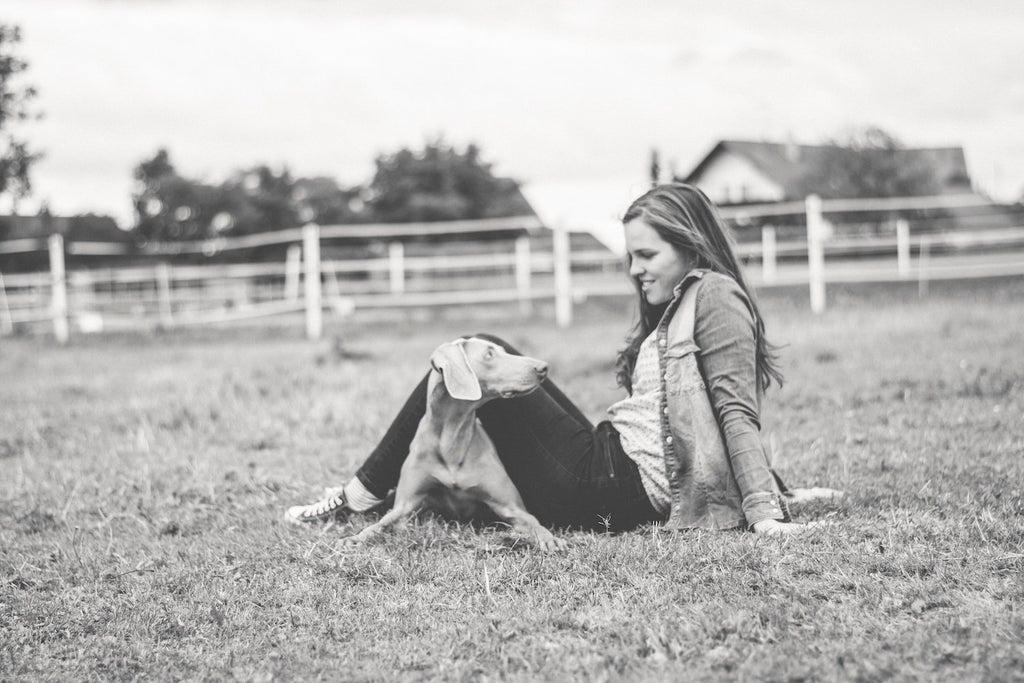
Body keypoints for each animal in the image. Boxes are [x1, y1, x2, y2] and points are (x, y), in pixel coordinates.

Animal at [344, 339, 569, 552]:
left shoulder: (512, 507)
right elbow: (380, 524)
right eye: (489, 354)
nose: (544, 367)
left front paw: (549, 539)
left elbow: (534, 522)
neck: (452, 438)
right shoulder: (405, 506)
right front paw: (356, 538)